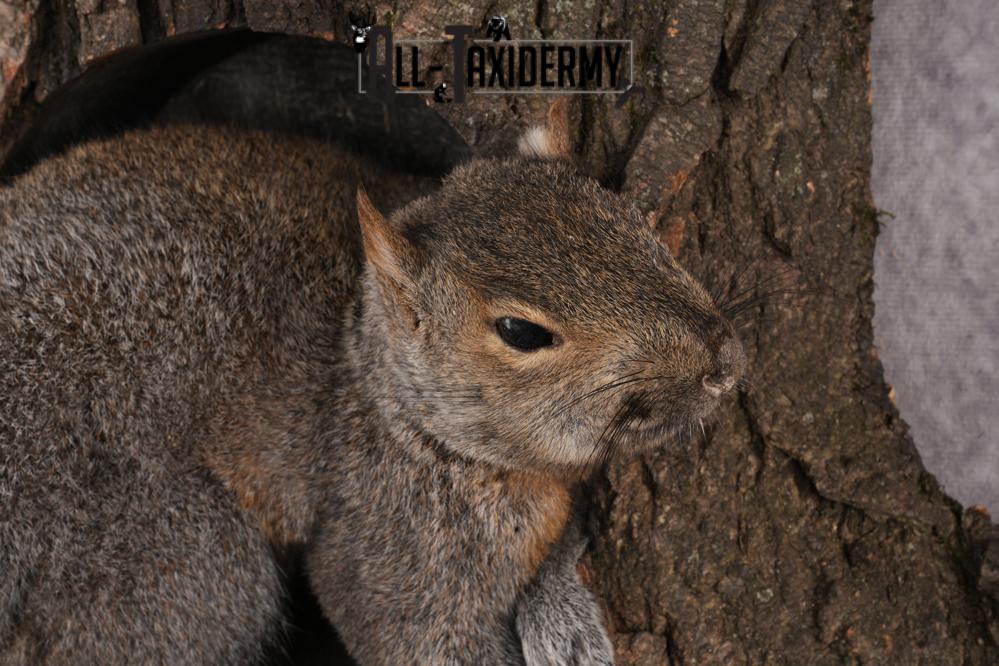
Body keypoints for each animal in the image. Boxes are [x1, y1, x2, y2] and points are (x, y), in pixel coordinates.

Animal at [0, 102, 745, 664]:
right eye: (520, 332)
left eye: (636, 225)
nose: (724, 362)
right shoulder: (393, 529)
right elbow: (424, 641)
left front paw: (560, 610)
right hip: (179, 565)